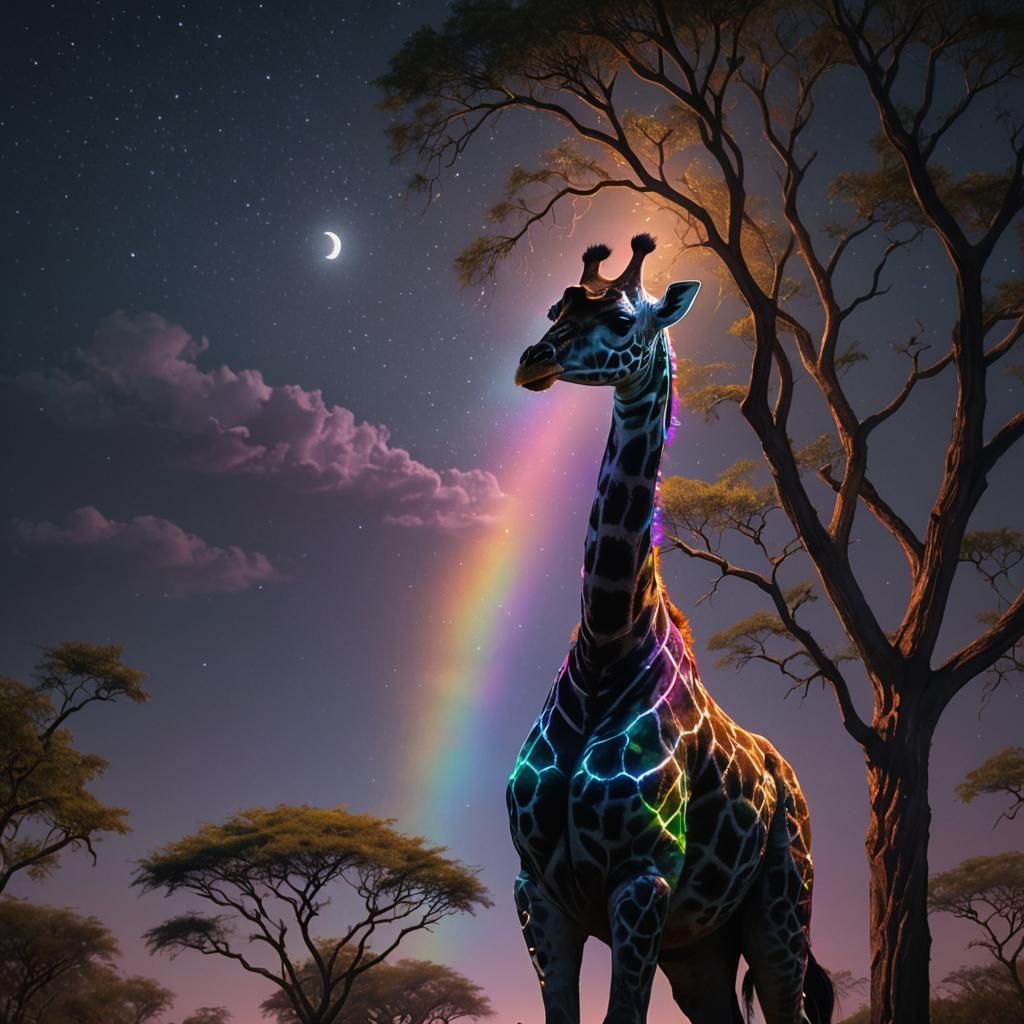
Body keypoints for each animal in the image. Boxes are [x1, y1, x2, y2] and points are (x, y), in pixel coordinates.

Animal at [506, 235, 833, 1024]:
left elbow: (622, 1015)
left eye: (625, 320)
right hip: (701, 949)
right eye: (556, 307)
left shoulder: (641, 876)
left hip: (781, 911)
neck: (604, 646)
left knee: (791, 1005)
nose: (533, 360)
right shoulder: (536, 889)